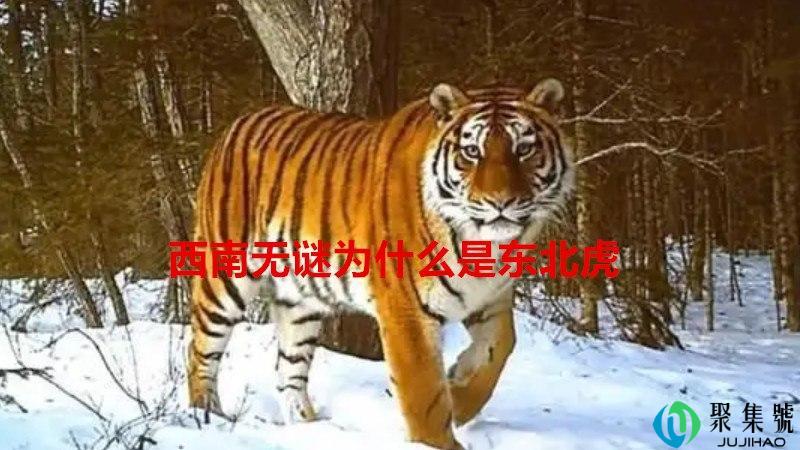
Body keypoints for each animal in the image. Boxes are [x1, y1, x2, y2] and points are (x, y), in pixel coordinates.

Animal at [187, 78, 573, 449]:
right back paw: (207, 416)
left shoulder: (491, 298)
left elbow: (501, 348)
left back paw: (309, 428)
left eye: (524, 149)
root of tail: (239, 122)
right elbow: (423, 393)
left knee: (289, 372)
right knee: (200, 350)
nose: (500, 202)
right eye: (471, 152)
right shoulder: (406, 310)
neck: (486, 247)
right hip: (225, 276)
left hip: (299, 300)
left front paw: (459, 396)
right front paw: (438, 440)